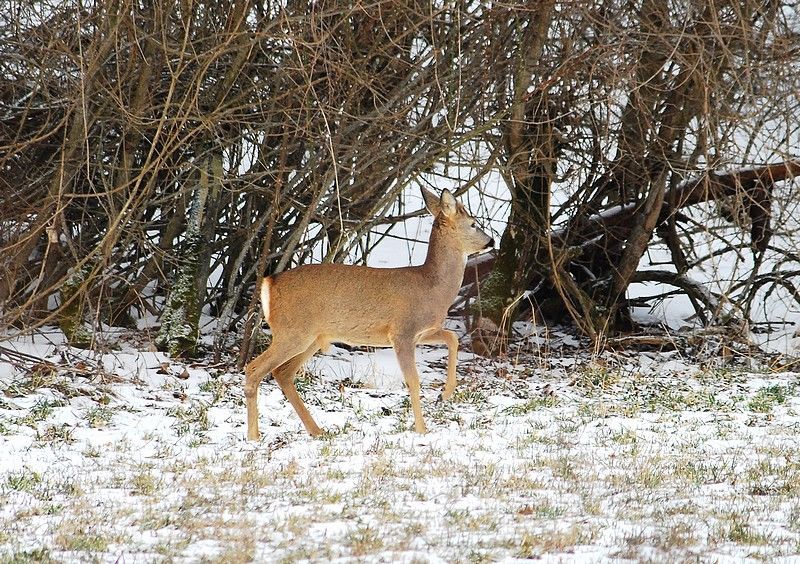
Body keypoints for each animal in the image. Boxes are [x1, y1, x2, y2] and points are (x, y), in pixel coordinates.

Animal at [244, 187, 494, 438]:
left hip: (311, 337)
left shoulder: (422, 332)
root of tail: (269, 283)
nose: (491, 241)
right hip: (293, 331)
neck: (433, 288)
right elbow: (413, 380)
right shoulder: (402, 332)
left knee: (283, 373)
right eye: (473, 223)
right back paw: (254, 437)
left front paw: (445, 393)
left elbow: (452, 338)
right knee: (253, 369)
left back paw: (317, 431)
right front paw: (422, 430)